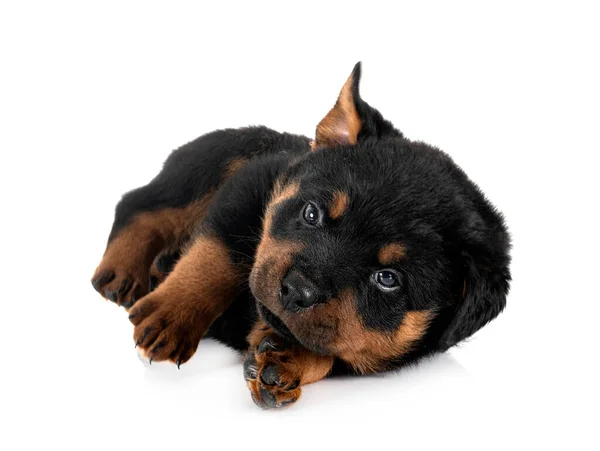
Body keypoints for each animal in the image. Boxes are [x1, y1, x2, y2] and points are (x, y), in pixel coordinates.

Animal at [92, 62, 510, 410]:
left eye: (387, 279)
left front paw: (288, 358)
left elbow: (335, 348)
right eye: (311, 214)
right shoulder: (254, 179)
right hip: (215, 164)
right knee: (139, 203)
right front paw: (173, 315)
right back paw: (122, 272)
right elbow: (220, 253)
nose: (297, 291)